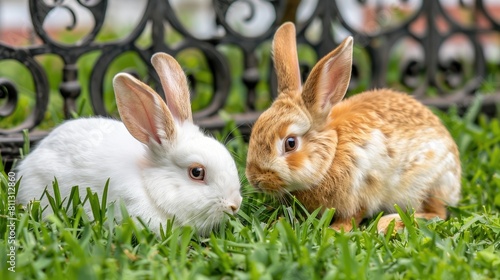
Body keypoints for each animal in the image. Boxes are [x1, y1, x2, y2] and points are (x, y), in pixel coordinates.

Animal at [246, 21, 460, 232]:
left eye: (290, 143)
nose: (255, 179)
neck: (331, 155)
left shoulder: (360, 192)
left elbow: (353, 215)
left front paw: (336, 230)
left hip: (428, 184)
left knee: (438, 213)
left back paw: (388, 223)